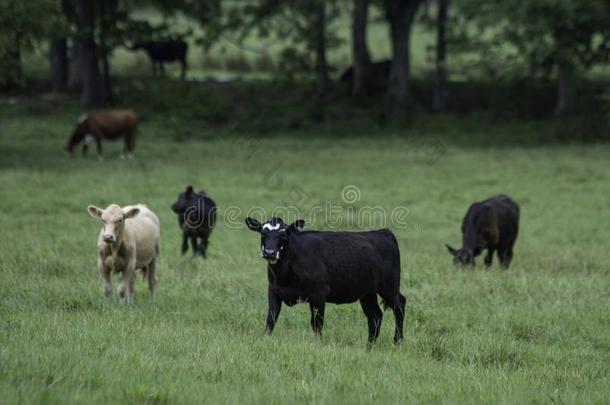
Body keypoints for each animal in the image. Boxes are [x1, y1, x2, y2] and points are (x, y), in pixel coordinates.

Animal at [242, 216, 404, 342]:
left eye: (283, 235)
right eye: (263, 233)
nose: (269, 252)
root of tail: (383, 232)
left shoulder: (318, 295)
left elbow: (317, 323)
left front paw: (318, 343)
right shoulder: (274, 291)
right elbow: (271, 319)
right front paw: (265, 338)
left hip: (389, 286)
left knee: (400, 305)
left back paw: (398, 341)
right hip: (367, 293)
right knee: (375, 316)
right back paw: (369, 346)